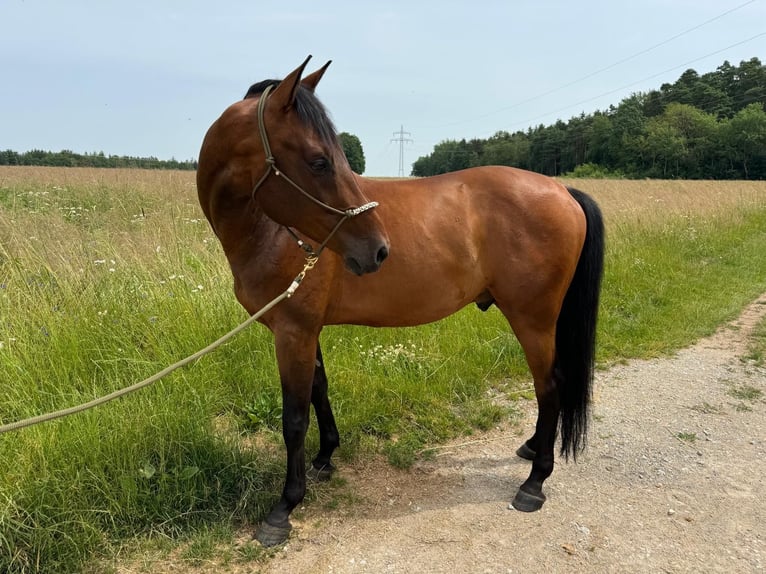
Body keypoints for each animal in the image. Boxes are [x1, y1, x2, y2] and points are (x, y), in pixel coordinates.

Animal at [196, 56, 608, 548]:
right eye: (319, 161)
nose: (377, 250)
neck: (269, 231)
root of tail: (563, 190)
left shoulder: (292, 332)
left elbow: (293, 418)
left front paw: (284, 507)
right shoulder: (307, 330)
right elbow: (319, 390)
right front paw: (325, 458)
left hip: (534, 319)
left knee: (550, 385)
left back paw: (535, 482)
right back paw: (531, 449)